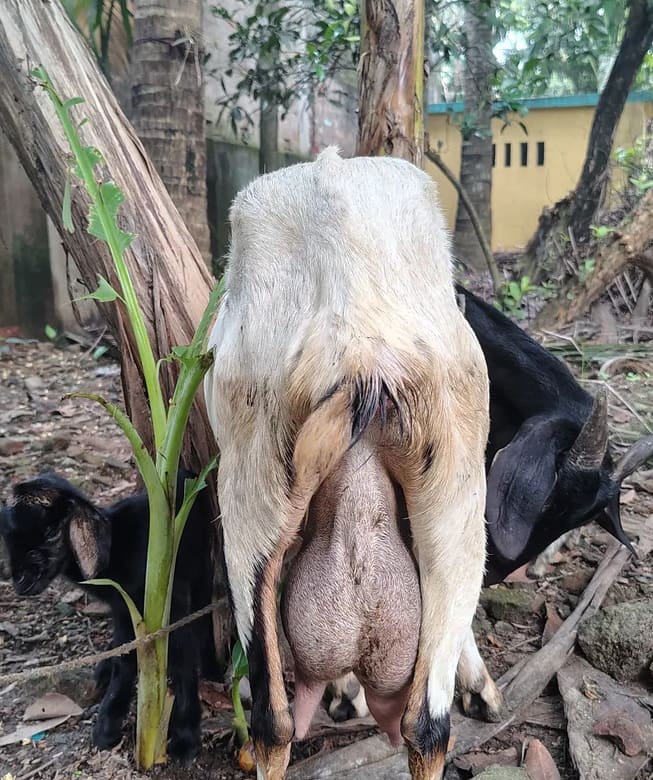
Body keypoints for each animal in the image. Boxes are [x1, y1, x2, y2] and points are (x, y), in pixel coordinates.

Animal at [0, 471, 218, 763]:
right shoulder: (124, 608)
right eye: (9, 538)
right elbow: (124, 658)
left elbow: (181, 659)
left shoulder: (172, 599)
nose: (20, 582)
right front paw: (107, 724)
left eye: (52, 533)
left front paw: (185, 740)